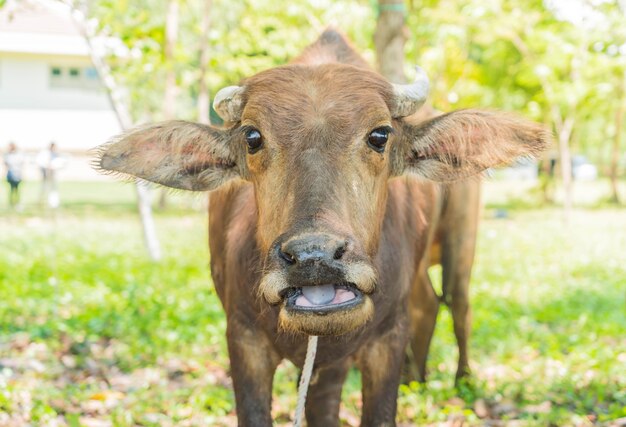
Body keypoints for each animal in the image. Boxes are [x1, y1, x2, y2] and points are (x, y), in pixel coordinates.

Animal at [97, 30, 544, 427]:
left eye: (380, 135)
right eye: (253, 137)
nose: (314, 257)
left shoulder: (384, 339)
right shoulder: (244, 339)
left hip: (460, 241)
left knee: (458, 303)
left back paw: (461, 381)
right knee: (429, 302)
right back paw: (415, 379)